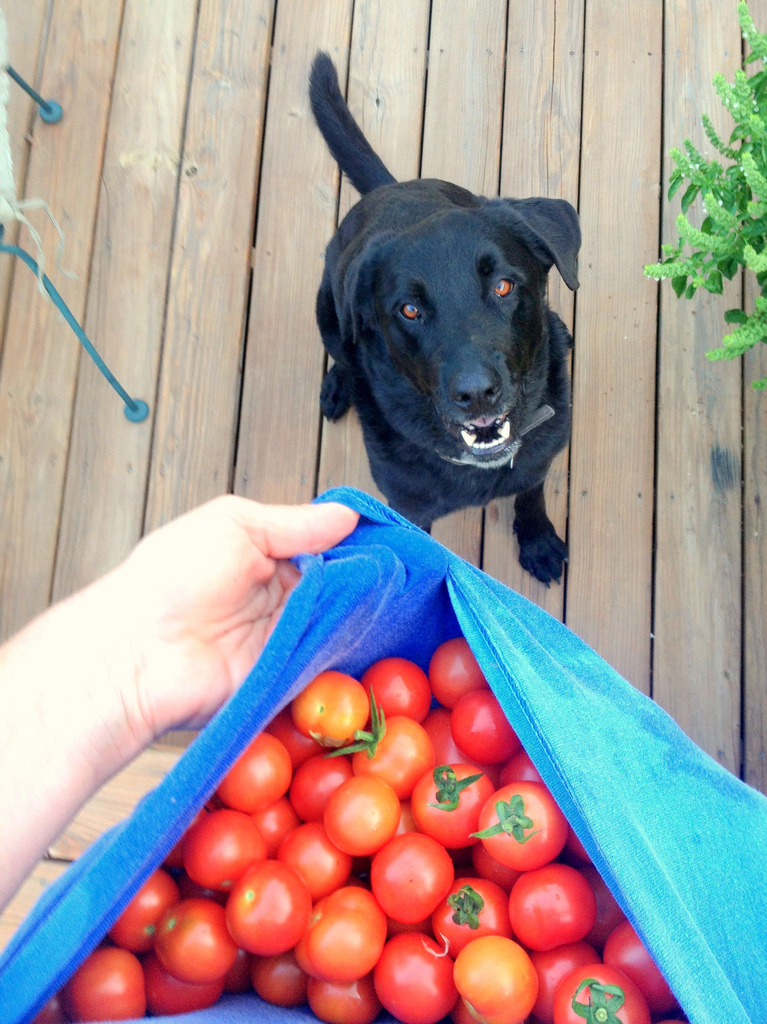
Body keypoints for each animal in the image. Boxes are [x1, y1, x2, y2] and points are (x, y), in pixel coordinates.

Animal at [307, 54, 577, 585]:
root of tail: (389, 187)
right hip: (327, 306)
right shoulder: (408, 506)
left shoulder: (538, 461)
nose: (476, 394)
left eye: (503, 286)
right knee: (340, 351)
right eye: (409, 310)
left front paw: (537, 541)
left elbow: (531, 494)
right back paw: (337, 385)